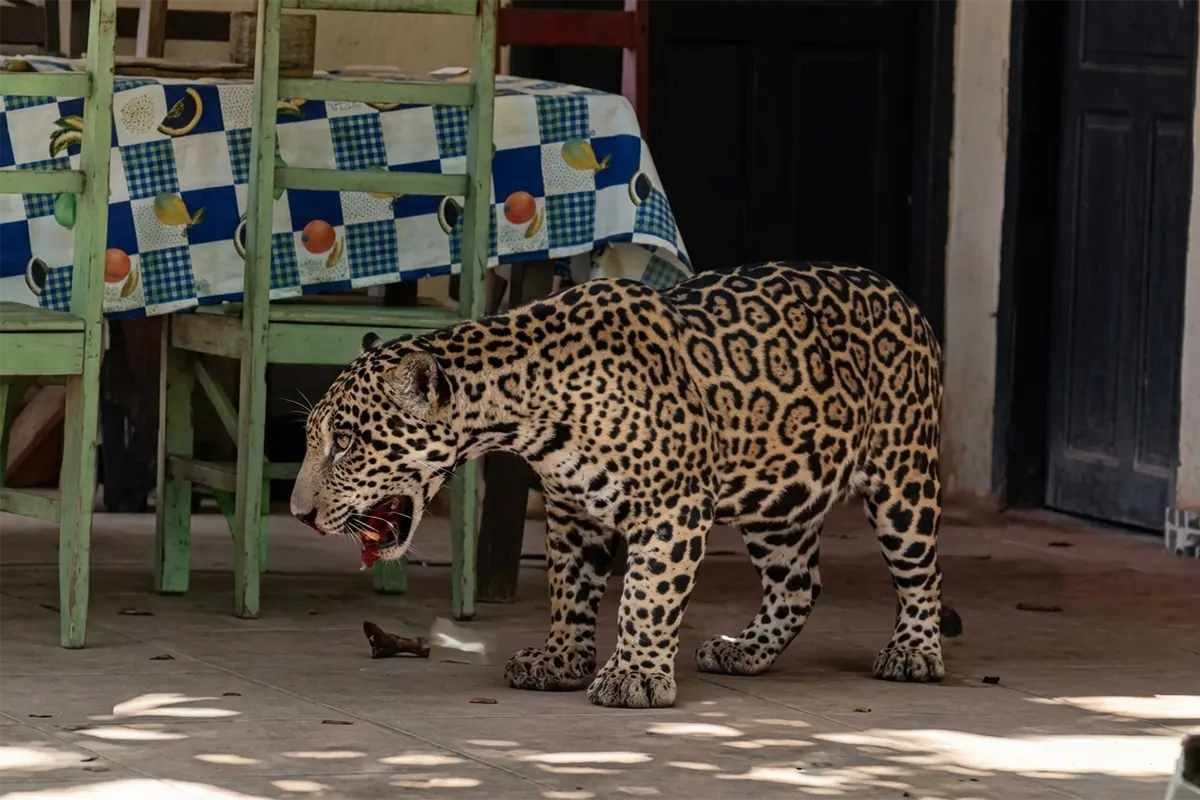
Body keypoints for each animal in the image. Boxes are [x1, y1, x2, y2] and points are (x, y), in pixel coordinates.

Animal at [291, 260, 952, 709]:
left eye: (345, 441)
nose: (299, 513)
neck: (526, 409)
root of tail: (903, 296)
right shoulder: (570, 509)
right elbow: (569, 589)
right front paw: (561, 660)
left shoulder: (673, 507)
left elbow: (646, 595)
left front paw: (634, 675)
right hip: (776, 502)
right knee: (799, 585)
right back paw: (744, 651)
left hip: (903, 478)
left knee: (921, 574)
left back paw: (915, 653)